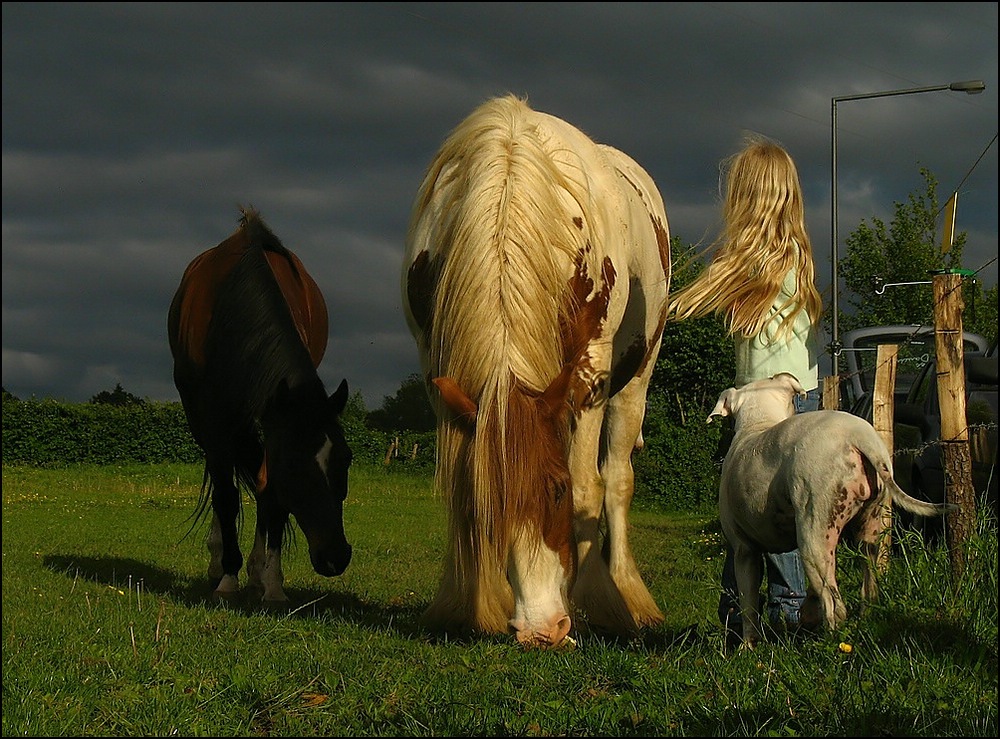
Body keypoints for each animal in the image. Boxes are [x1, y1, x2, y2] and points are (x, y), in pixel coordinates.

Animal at [166, 208, 350, 600]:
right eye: (294, 467)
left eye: (346, 459)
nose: (336, 557)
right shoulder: (213, 413)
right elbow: (226, 494)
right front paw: (227, 577)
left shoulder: (273, 417)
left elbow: (269, 491)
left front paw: (271, 581)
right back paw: (220, 560)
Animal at [400, 94, 672, 648]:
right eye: (492, 508)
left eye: (556, 490)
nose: (541, 629)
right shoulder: (438, 370)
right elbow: (460, 480)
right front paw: (468, 603)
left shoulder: (591, 369)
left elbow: (589, 486)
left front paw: (595, 600)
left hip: (636, 376)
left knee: (617, 478)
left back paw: (628, 595)